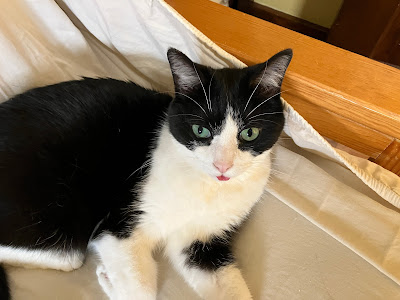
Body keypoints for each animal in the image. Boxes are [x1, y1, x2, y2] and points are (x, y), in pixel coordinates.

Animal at [0, 48, 292, 298]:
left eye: (249, 133)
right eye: (200, 131)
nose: (223, 166)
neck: (206, 188)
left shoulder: (200, 242)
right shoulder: (119, 224)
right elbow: (141, 291)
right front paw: (111, 280)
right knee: (68, 255)